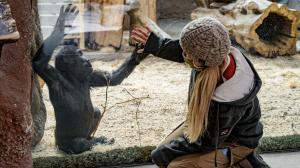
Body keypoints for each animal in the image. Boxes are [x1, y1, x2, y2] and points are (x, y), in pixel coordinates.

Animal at [32, 4, 145, 154]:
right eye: (79, 56)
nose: (87, 59)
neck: (74, 79)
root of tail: (56, 144)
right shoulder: (53, 77)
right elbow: (38, 64)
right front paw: (62, 24)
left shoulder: (89, 76)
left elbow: (112, 78)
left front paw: (137, 55)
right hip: (62, 143)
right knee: (78, 143)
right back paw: (93, 142)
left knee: (95, 111)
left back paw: (95, 139)